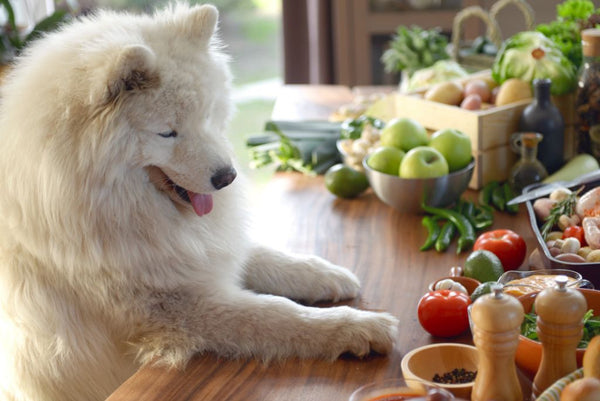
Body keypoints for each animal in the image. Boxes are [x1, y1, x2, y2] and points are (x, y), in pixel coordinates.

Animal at [0, 3, 398, 400]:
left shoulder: (192, 253)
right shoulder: (174, 305)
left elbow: (264, 257)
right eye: (167, 132)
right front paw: (358, 327)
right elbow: (274, 313)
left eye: (207, 115)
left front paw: (324, 273)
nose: (227, 178)